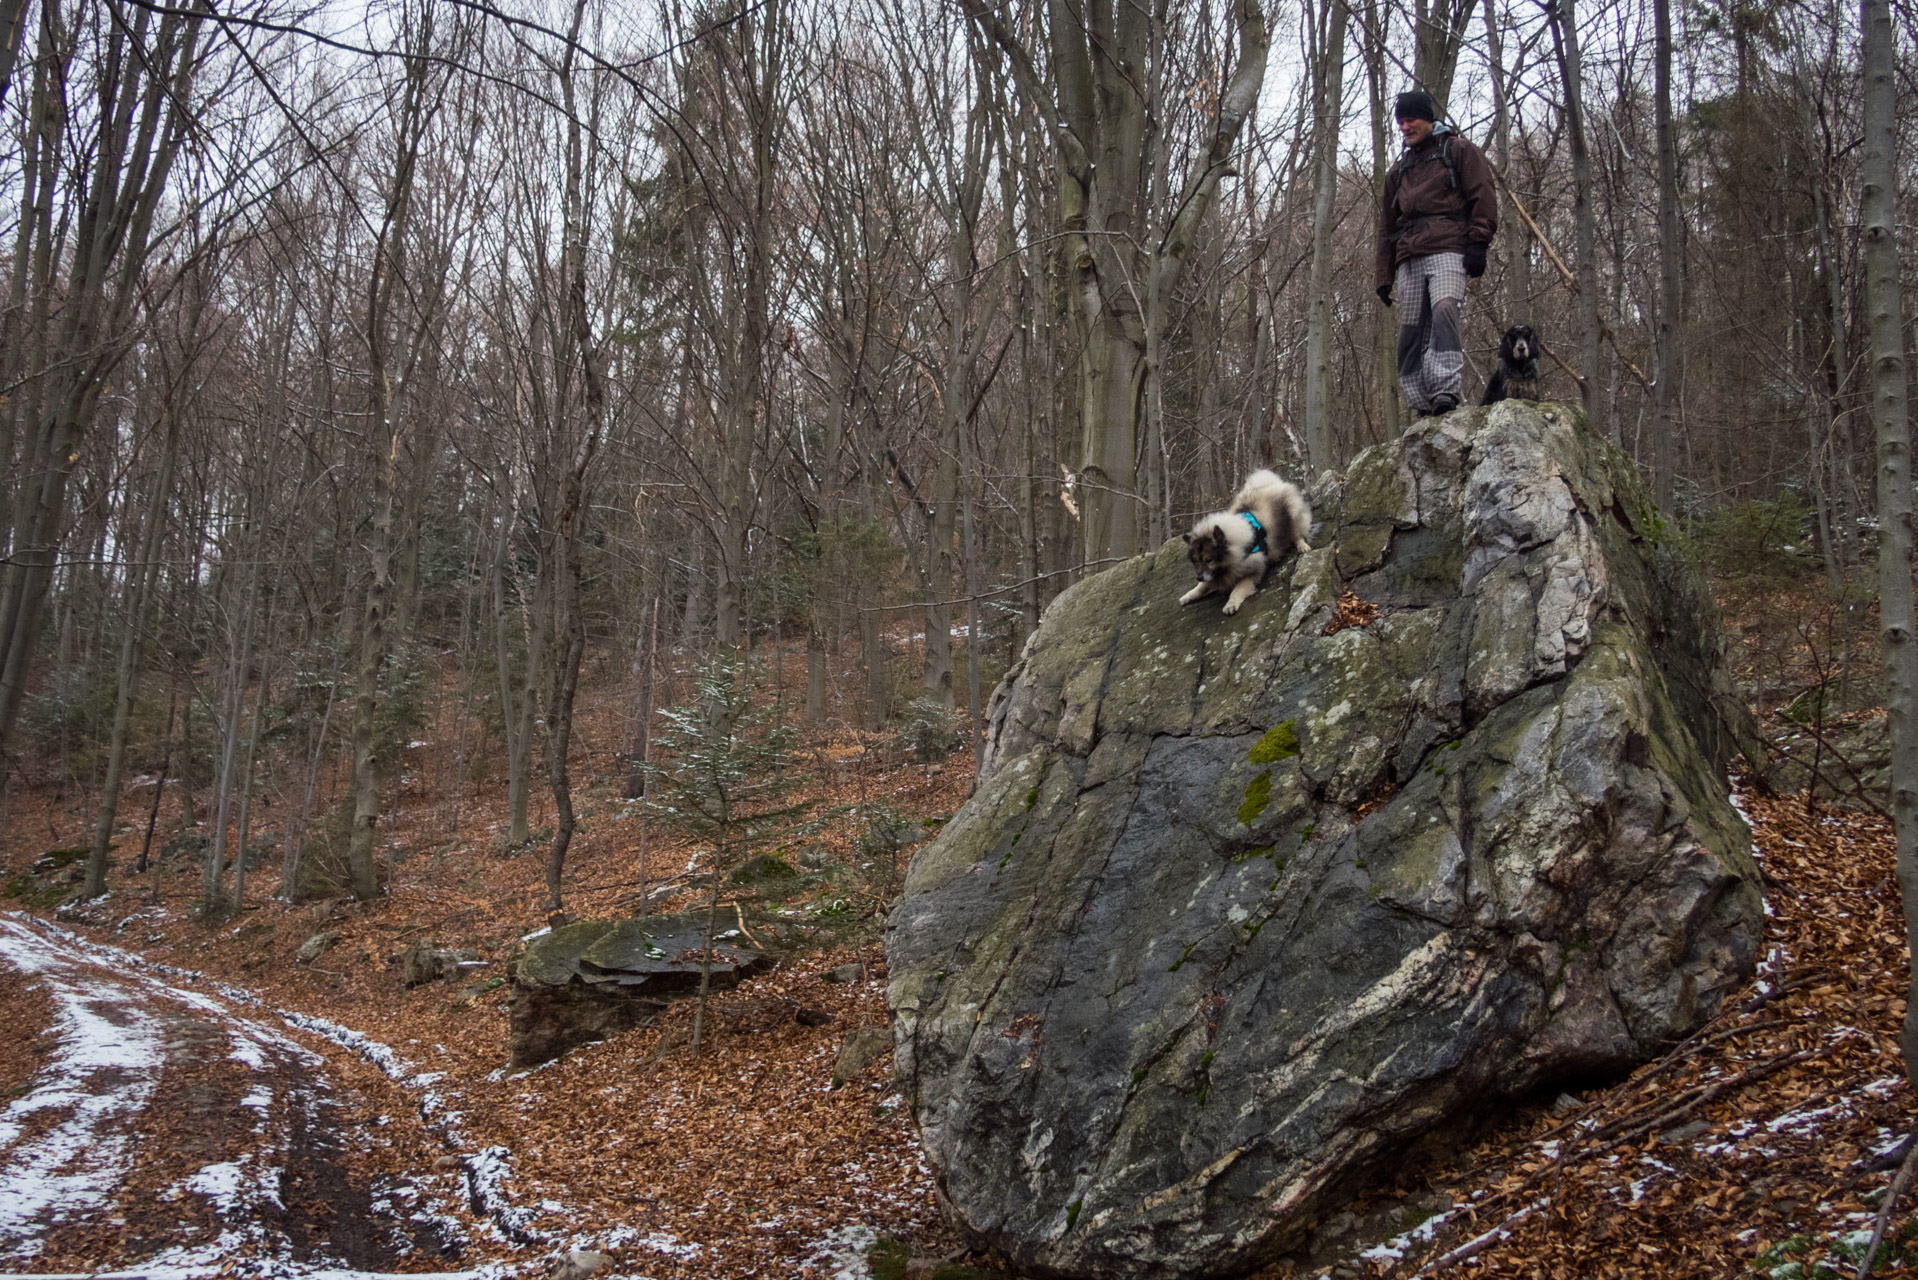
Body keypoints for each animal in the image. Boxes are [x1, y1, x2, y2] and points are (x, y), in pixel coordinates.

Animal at [1173, 470, 1311, 614]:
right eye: (1195, 561)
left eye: (1209, 560)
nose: (1198, 577)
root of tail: (1272, 483)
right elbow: (1202, 586)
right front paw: (1189, 595)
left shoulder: (1253, 569)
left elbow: (1238, 588)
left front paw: (1231, 604)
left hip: (1293, 512)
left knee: (1298, 534)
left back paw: (1302, 546)